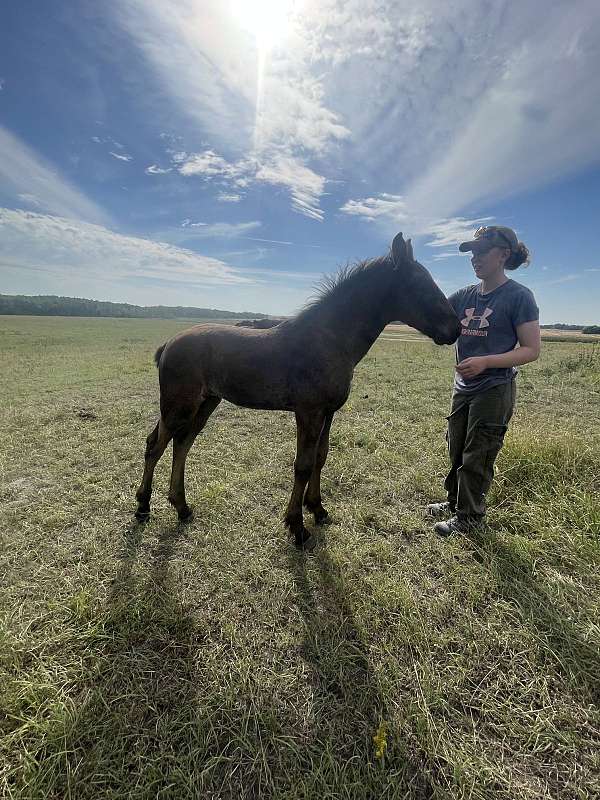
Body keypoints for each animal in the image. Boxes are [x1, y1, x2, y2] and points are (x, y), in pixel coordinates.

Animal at [134, 233, 461, 547]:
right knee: (156, 445)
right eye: (419, 283)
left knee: (182, 443)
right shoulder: (308, 412)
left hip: (205, 404)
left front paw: (317, 509)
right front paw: (298, 528)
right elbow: (302, 465)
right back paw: (142, 508)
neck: (328, 339)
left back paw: (182, 507)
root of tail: (169, 343)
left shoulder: (328, 413)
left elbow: (320, 457)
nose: (456, 328)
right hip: (179, 406)